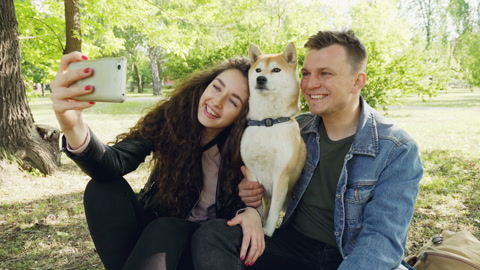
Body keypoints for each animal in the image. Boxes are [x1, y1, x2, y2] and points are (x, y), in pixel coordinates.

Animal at [240, 42, 308, 236]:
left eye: (276, 70)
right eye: (258, 70)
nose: (260, 79)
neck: (267, 122)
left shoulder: (281, 176)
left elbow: (273, 211)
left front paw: (267, 231)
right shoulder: (252, 173)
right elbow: (258, 208)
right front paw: (255, 222)